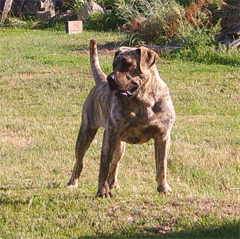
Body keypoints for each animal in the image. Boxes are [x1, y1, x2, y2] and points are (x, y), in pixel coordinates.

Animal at [66, 39, 175, 198]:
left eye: (127, 64)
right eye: (114, 64)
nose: (110, 78)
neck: (143, 100)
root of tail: (100, 81)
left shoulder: (163, 136)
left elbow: (162, 166)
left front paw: (163, 188)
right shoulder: (110, 136)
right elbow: (103, 167)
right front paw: (102, 192)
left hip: (120, 145)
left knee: (115, 164)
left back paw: (113, 184)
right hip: (86, 132)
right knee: (79, 160)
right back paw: (73, 183)